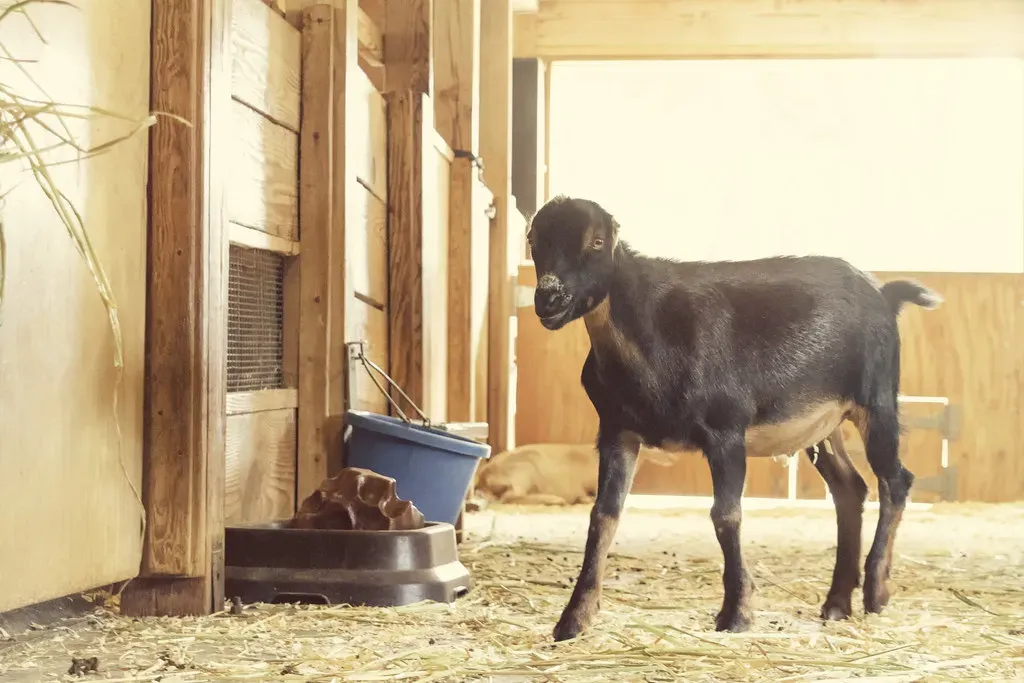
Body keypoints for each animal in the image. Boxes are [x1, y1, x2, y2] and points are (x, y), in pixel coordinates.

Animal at [526, 195, 942, 641]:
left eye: (597, 241)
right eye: (533, 240)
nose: (549, 300)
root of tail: (884, 293)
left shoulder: (725, 430)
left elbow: (725, 515)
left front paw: (736, 613)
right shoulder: (617, 431)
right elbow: (603, 516)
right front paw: (573, 618)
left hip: (876, 401)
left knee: (895, 481)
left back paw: (876, 591)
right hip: (823, 424)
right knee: (850, 489)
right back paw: (836, 602)